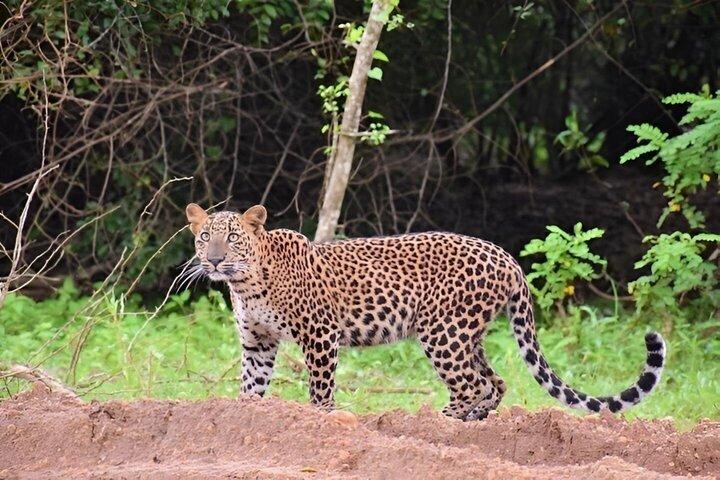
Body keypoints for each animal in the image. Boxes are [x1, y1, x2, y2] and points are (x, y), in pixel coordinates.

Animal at [185, 203, 666, 420]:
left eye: (232, 238)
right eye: (204, 236)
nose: (213, 260)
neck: (247, 283)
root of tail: (508, 257)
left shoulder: (320, 335)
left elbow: (320, 390)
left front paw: (320, 420)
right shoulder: (258, 342)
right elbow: (251, 385)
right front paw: (243, 416)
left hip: (442, 332)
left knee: (473, 385)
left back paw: (438, 423)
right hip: (466, 334)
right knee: (495, 381)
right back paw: (473, 424)